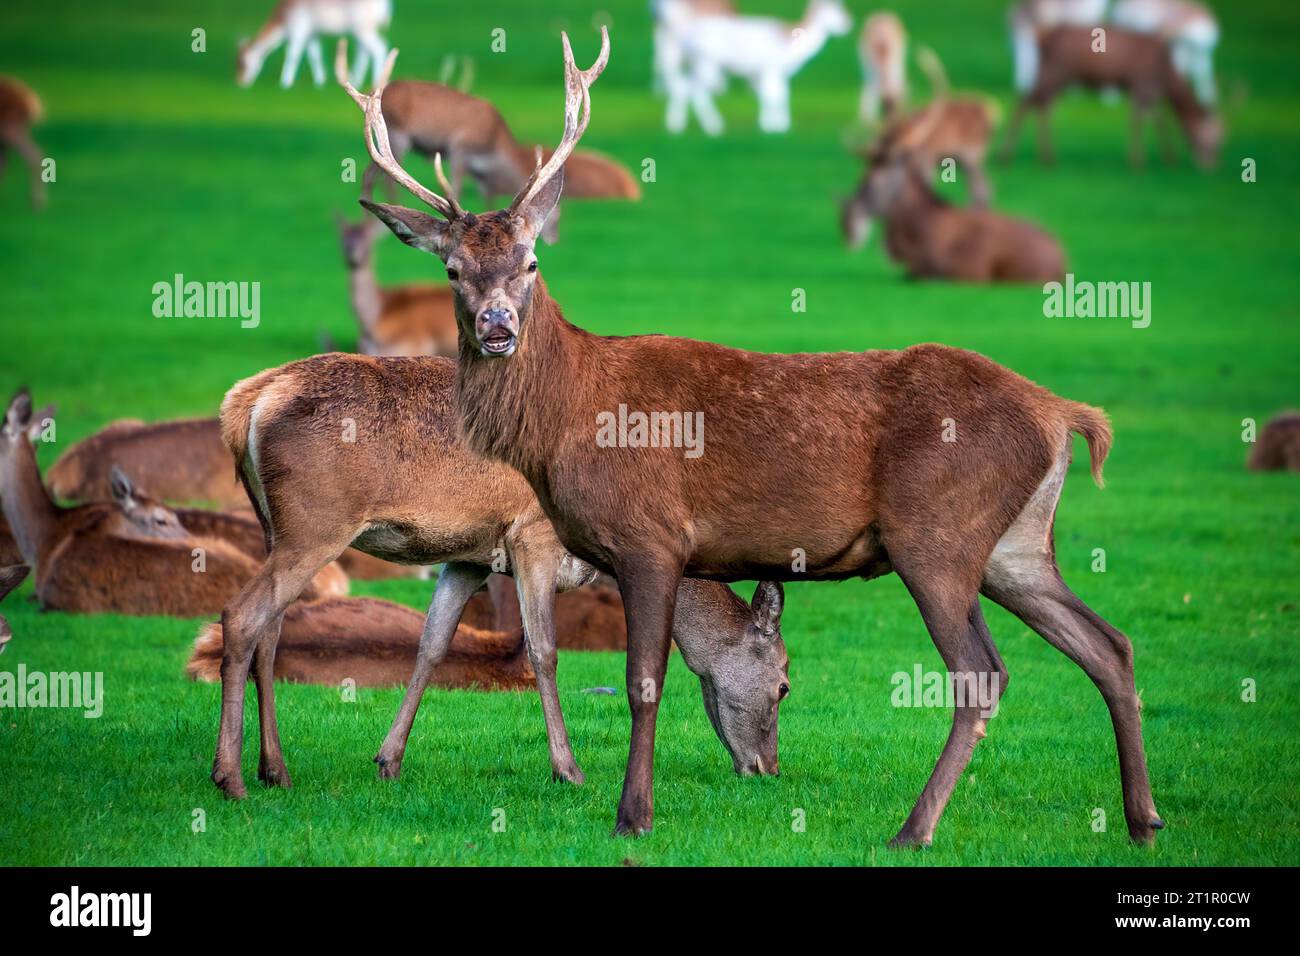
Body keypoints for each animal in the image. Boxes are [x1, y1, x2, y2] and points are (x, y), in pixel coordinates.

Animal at [237, 0, 390, 89]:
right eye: (237, 62)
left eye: (242, 63)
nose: (240, 82)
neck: (283, 22)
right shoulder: (311, 34)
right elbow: (315, 54)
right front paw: (320, 81)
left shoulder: (298, 29)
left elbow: (292, 54)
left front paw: (285, 82)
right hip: (362, 30)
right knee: (364, 51)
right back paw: (356, 80)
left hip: (362, 28)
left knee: (379, 47)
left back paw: (376, 82)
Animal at [353, 28, 1160, 845]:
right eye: (453, 269)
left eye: (530, 261)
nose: (497, 326)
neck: (569, 421)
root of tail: (1062, 413)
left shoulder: (652, 536)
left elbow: (644, 682)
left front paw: (632, 816)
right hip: (1015, 544)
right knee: (1109, 644)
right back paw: (1141, 818)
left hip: (937, 534)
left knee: (982, 673)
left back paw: (915, 828)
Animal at [656, 0, 853, 134]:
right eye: (836, 10)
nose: (848, 24)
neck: (790, 45)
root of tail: (685, 38)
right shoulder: (770, 68)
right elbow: (773, 96)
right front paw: (773, 126)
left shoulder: (764, 73)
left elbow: (776, 95)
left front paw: (778, 125)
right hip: (707, 64)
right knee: (694, 90)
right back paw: (709, 126)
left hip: (698, 65)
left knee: (685, 87)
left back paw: (680, 125)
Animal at [1001, 25, 1223, 169]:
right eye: (1213, 137)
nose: (1212, 165)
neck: (1168, 75)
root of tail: (1041, 37)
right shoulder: (1143, 82)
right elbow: (1141, 120)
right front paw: (1138, 162)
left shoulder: (1148, 88)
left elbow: (1156, 119)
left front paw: (1169, 159)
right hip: (1056, 70)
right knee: (1029, 102)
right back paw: (1014, 156)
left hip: (1053, 74)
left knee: (1036, 103)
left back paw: (1041, 156)